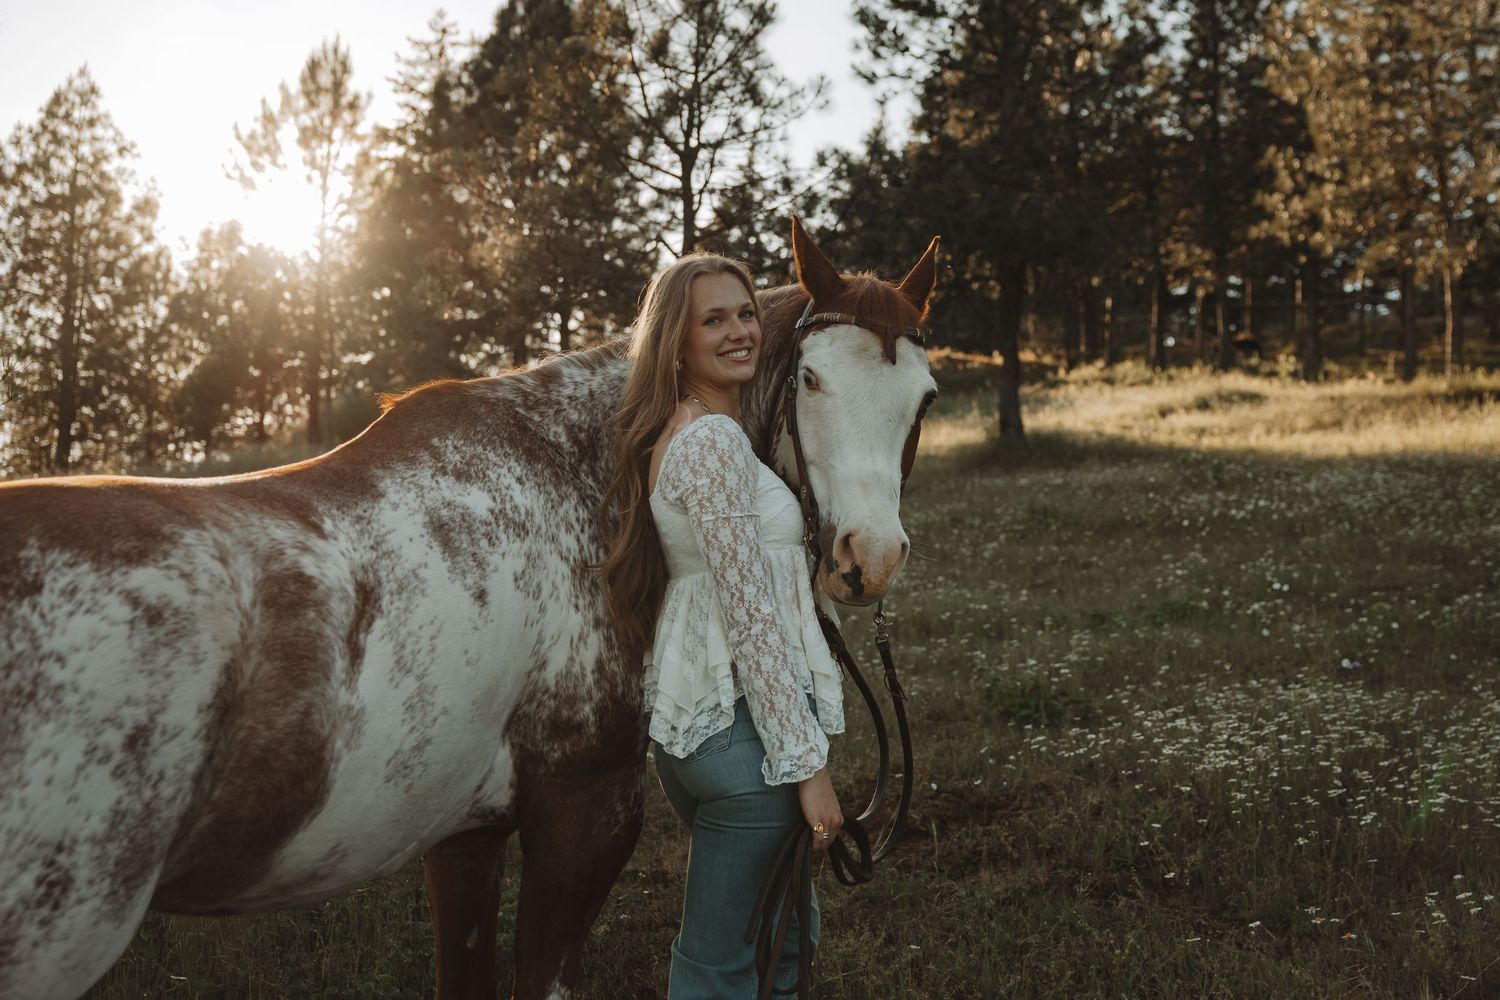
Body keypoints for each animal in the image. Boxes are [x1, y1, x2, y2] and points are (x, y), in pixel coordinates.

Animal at [0, 218, 939, 1000]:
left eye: (925, 398)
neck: (576, 477)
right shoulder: (583, 814)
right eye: (810, 378)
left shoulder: (464, 832)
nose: (869, 559)